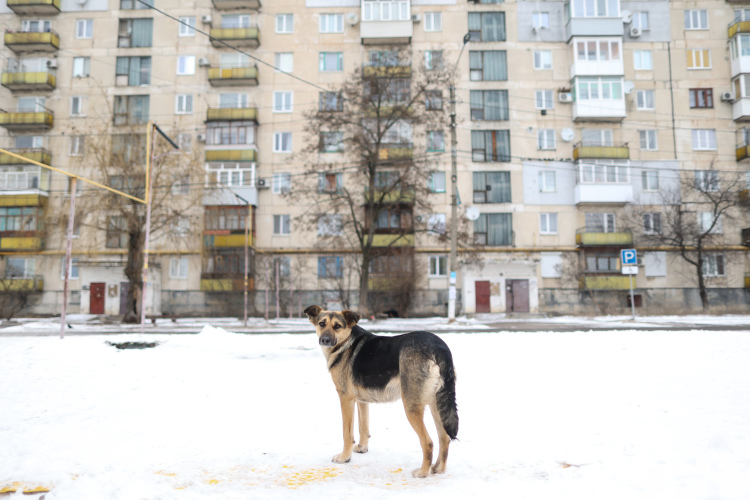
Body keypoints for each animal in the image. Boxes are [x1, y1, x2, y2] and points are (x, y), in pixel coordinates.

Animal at [304, 302, 458, 478]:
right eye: (321, 323)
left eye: (337, 326)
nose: (325, 340)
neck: (346, 342)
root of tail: (439, 347)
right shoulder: (361, 401)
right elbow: (363, 427)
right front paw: (362, 448)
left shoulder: (345, 399)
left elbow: (347, 433)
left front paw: (344, 458)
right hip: (435, 404)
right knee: (444, 437)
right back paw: (438, 469)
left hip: (412, 406)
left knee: (428, 442)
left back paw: (423, 473)